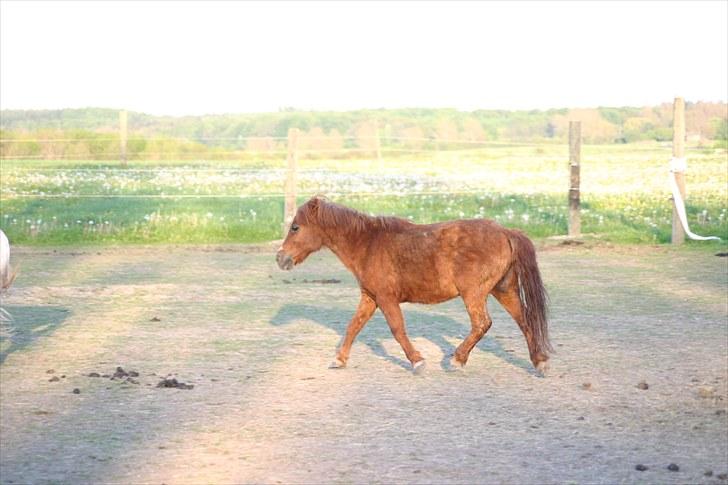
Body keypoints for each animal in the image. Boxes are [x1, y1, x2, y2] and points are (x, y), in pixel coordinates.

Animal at [278, 197, 552, 374]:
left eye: (295, 227)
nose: (280, 258)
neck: (367, 244)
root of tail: (506, 231)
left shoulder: (386, 298)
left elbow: (397, 330)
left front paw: (417, 361)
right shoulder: (370, 297)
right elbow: (353, 326)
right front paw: (339, 360)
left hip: (474, 294)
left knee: (482, 324)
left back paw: (457, 360)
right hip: (504, 290)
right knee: (525, 321)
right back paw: (539, 361)